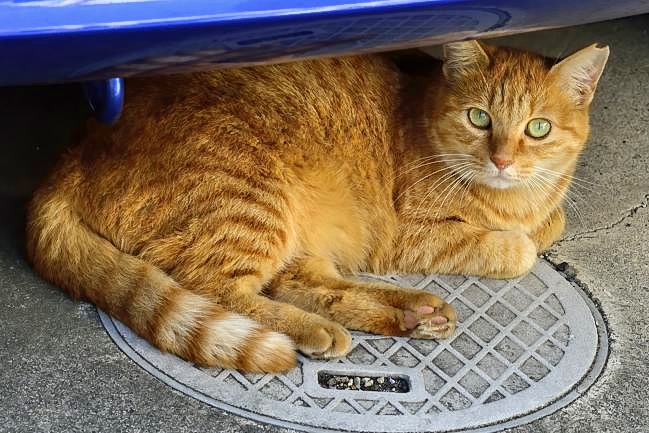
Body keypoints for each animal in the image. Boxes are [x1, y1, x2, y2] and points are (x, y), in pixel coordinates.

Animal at [25, 39, 612, 372]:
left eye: (538, 128)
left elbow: (551, 222)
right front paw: (520, 240)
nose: (502, 160)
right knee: (217, 287)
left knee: (303, 284)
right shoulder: (408, 235)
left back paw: (411, 313)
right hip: (252, 201)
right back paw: (312, 331)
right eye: (479, 118)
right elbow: (518, 250)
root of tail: (74, 151)